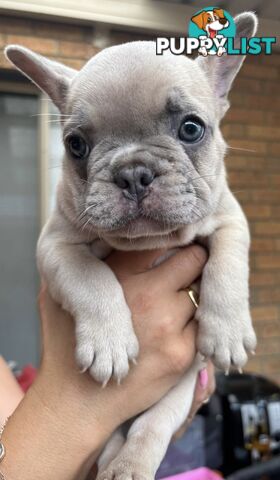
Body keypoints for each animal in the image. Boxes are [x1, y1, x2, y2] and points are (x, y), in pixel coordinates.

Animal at [4, 11, 258, 480]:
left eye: (191, 128)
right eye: (75, 145)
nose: (133, 172)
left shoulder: (231, 218)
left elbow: (229, 265)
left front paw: (227, 331)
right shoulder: (55, 245)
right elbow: (91, 277)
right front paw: (110, 342)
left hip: (179, 389)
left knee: (149, 426)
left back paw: (129, 464)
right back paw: (114, 464)